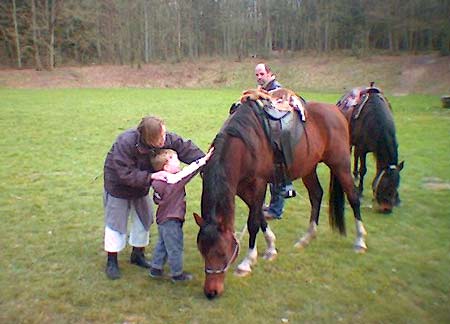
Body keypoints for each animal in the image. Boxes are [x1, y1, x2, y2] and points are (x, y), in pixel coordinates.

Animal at [192, 91, 366, 298]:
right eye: (202, 251)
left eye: (221, 253)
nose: (211, 292)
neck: (244, 143)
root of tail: (336, 110)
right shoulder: (243, 189)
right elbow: (260, 216)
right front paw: (270, 248)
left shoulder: (258, 185)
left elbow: (253, 223)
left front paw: (247, 262)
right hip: (309, 168)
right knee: (316, 195)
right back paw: (307, 237)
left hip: (340, 164)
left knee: (353, 197)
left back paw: (360, 240)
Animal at [338, 85, 404, 213]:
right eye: (386, 185)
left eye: (396, 185)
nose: (387, 209)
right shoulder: (362, 148)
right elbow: (363, 170)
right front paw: (360, 192)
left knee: (355, 157)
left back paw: (355, 175)